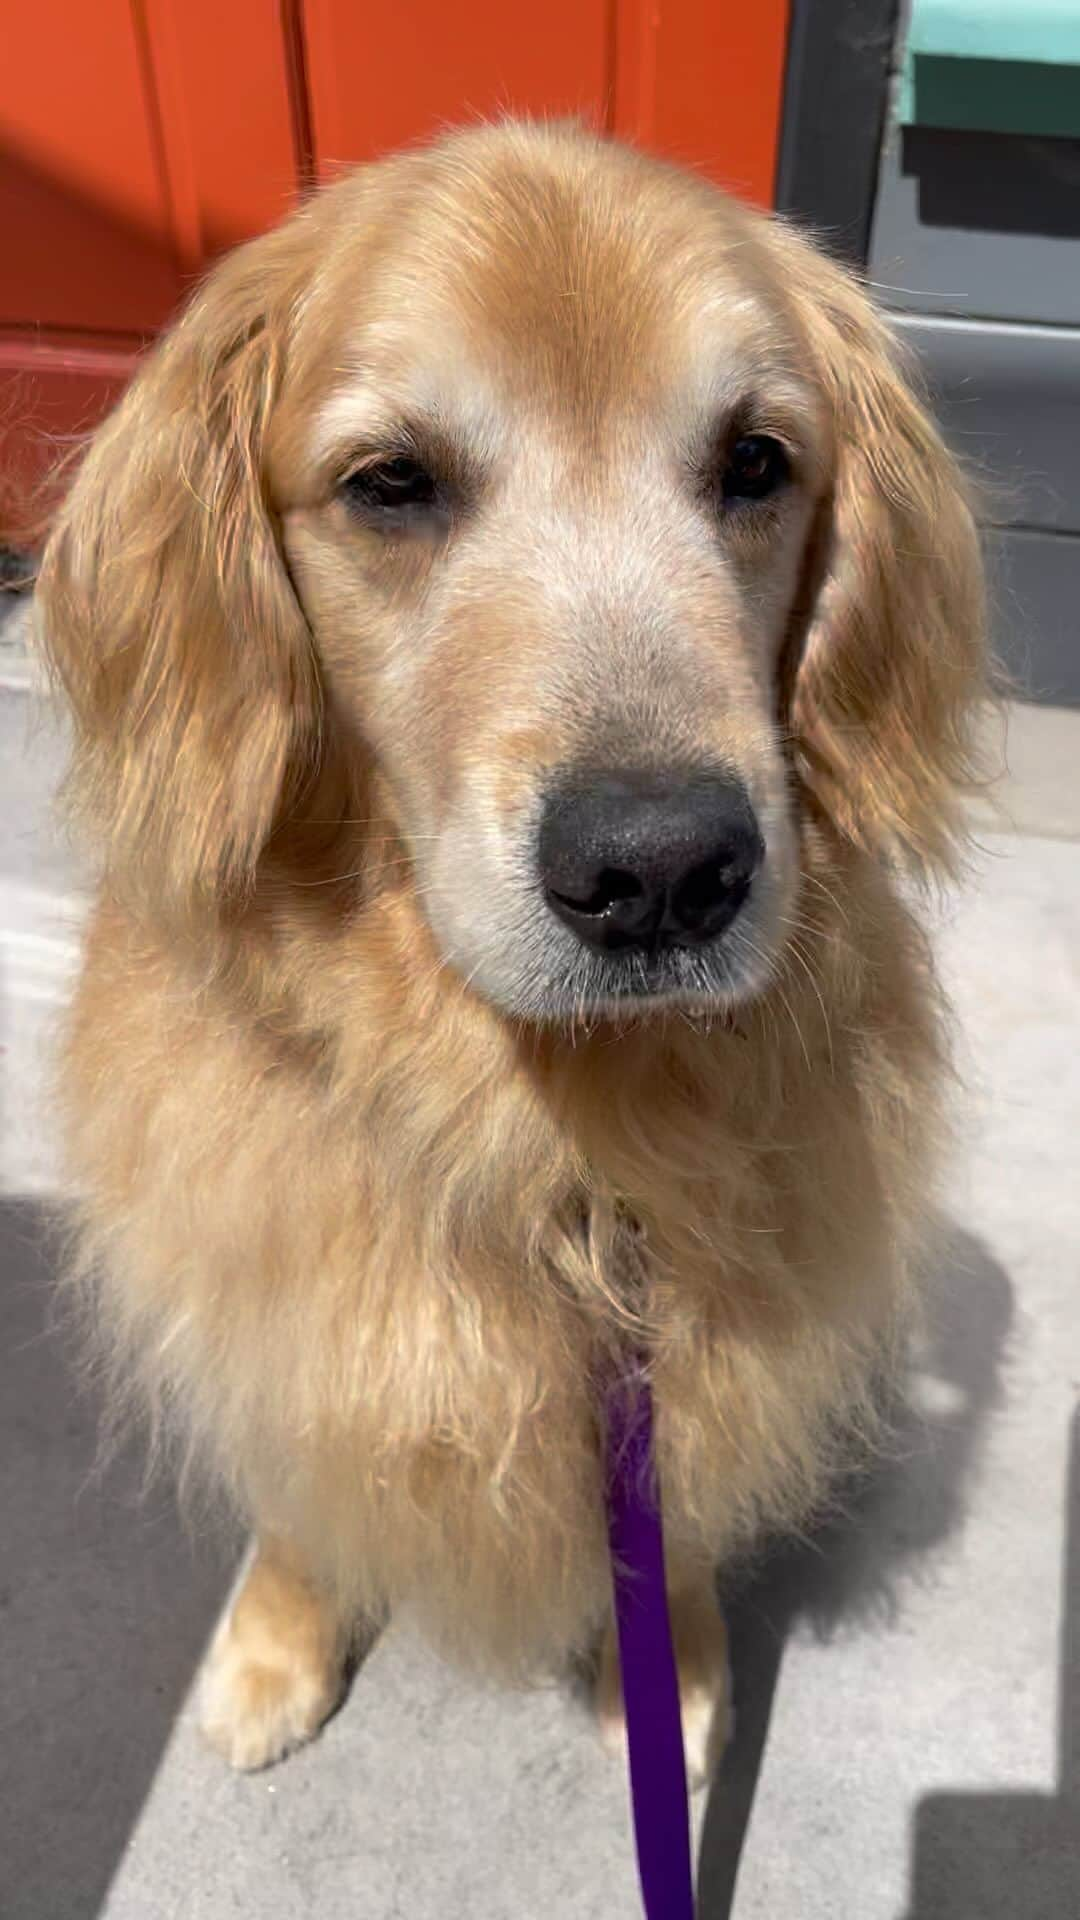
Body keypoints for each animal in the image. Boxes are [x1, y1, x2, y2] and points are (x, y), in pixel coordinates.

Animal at [37, 123, 983, 1781]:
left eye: (756, 461)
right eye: (391, 484)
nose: (663, 871)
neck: (552, 1132)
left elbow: (676, 1506)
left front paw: (668, 1667)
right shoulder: (274, 1293)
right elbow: (302, 1484)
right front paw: (279, 1639)